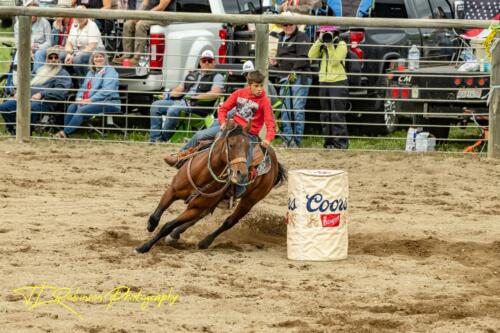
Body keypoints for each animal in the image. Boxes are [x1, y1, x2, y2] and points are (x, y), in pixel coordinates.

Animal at [135, 119, 288, 252]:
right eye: (231, 145)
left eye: (248, 148)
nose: (242, 174)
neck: (202, 175)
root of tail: (275, 162)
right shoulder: (172, 191)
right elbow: (156, 216)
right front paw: (150, 226)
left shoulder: (195, 208)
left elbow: (167, 226)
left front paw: (143, 247)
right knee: (200, 217)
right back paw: (175, 235)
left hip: (250, 200)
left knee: (229, 221)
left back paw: (204, 242)